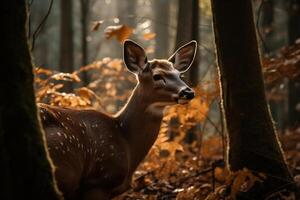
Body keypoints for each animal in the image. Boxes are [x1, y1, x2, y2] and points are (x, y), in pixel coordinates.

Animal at [39, 39, 198, 199]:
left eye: (180, 75)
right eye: (157, 76)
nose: (188, 92)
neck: (125, 141)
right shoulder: (99, 181)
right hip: (64, 169)